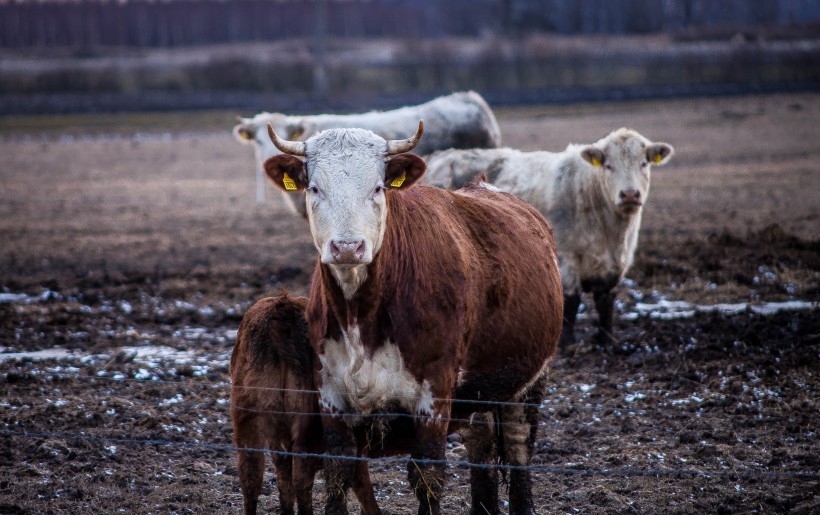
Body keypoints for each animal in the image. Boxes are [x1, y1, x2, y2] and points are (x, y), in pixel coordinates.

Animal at [262, 122, 564, 515]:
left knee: (517, 447)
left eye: (377, 187)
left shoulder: (433, 399)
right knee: (481, 441)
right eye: (314, 187)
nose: (347, 247)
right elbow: (338, 474)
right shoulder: (331, 396)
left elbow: (428, 478)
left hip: (529, 380)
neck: (363, 316)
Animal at [422, 128, 672, 346]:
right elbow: (571, 300)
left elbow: (606, 302)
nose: (629, 194)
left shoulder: (616, 264)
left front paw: (607, 339)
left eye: (644, 164)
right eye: (609, 166)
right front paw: (567, 342)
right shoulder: (567, 257)